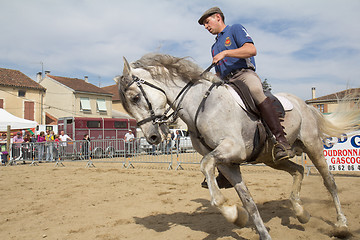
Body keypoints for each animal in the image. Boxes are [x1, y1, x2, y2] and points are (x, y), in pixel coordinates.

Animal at [114, 53, 358, 239]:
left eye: (135, 98)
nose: (152, 137)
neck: (200, 106)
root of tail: (305, 104)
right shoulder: (227, 163)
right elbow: (248, 202)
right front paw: (243, 220)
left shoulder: (233, 150)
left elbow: (205, 164)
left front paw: (229, 209)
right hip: (271, 158)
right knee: (298, 170)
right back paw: (300, 212)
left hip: (312, 146)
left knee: (330, 182)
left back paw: (341, 225)